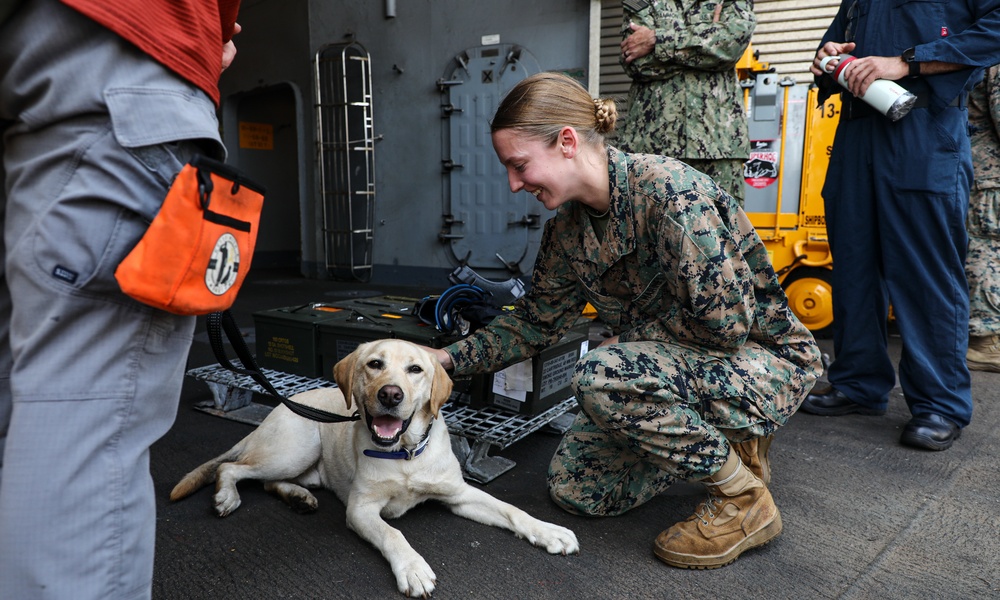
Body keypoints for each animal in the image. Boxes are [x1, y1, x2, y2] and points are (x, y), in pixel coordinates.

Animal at [171, 340, 580, 596]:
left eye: (415, 369)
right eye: (374, 364)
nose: (390, 394)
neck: (405, 454)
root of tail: (282, 407)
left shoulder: (459, 494)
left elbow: (512, 510)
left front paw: (549, 531)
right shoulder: (361, 509)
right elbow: (392, 534)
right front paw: (412, 568)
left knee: (272, 482)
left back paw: (298, 496)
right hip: (294, 448)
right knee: (232, 468)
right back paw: (226, 496)